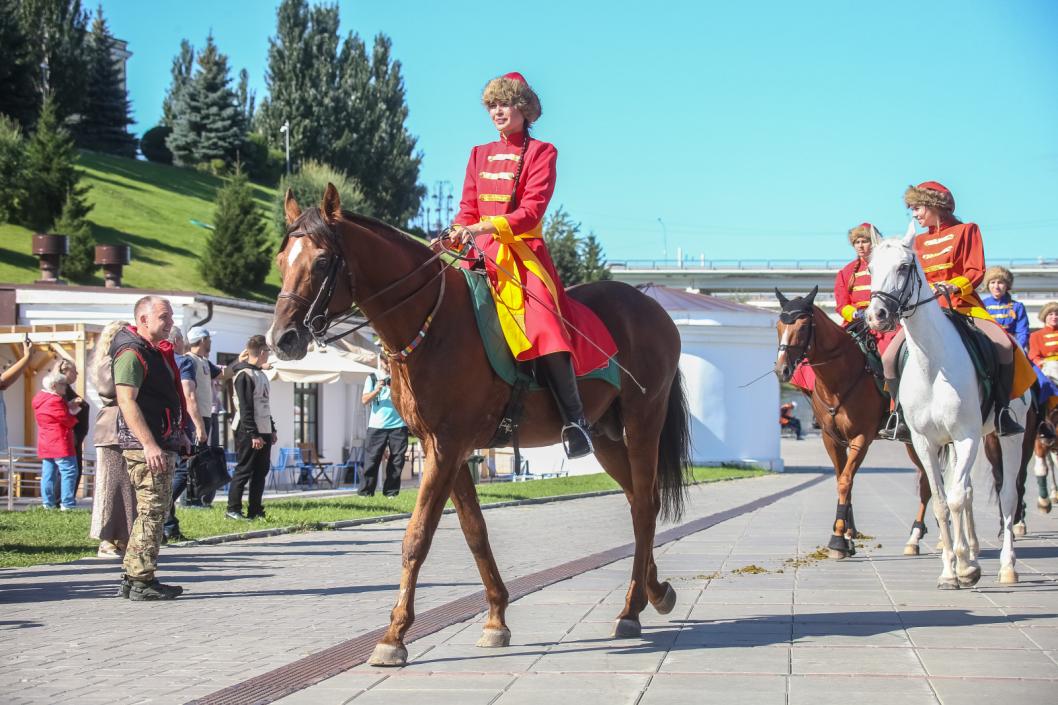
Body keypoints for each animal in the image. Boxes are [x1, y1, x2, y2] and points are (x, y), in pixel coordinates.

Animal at [268, 185, 689, 664]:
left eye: (322, 261)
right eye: (281, 260)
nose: (282, 339)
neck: (432, 323)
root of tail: (654, 309)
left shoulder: (447, 447)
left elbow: (417, 537)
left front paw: (394, 636)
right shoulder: (443, 448)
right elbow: (474, 531)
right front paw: (496, 619)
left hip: (643, 423)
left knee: (645, 507)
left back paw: (632, 608)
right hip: (604, 437)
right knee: (640, 502)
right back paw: (653, 593)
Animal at [774, 283, 931, 554]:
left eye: (803, 326)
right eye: (778, 326)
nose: (781, 369)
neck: (838, 379)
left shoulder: (861, 438)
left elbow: (846, 480)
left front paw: (838, 539)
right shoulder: (831, 439)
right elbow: (842, 479)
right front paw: (847, 534)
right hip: (913, 442)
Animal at [867, 226, 1032, 588]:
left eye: (904, 266)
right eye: (870, 268)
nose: (876, 315)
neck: (933, 363)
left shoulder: (967, 435)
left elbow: (956, 498)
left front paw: (967, 570)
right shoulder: (925, 442)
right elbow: (943, 503)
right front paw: (950, 572)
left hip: (1009, 437)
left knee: (1007, 496)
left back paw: (1006, 567)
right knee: (965, 490)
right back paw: (970, 552)